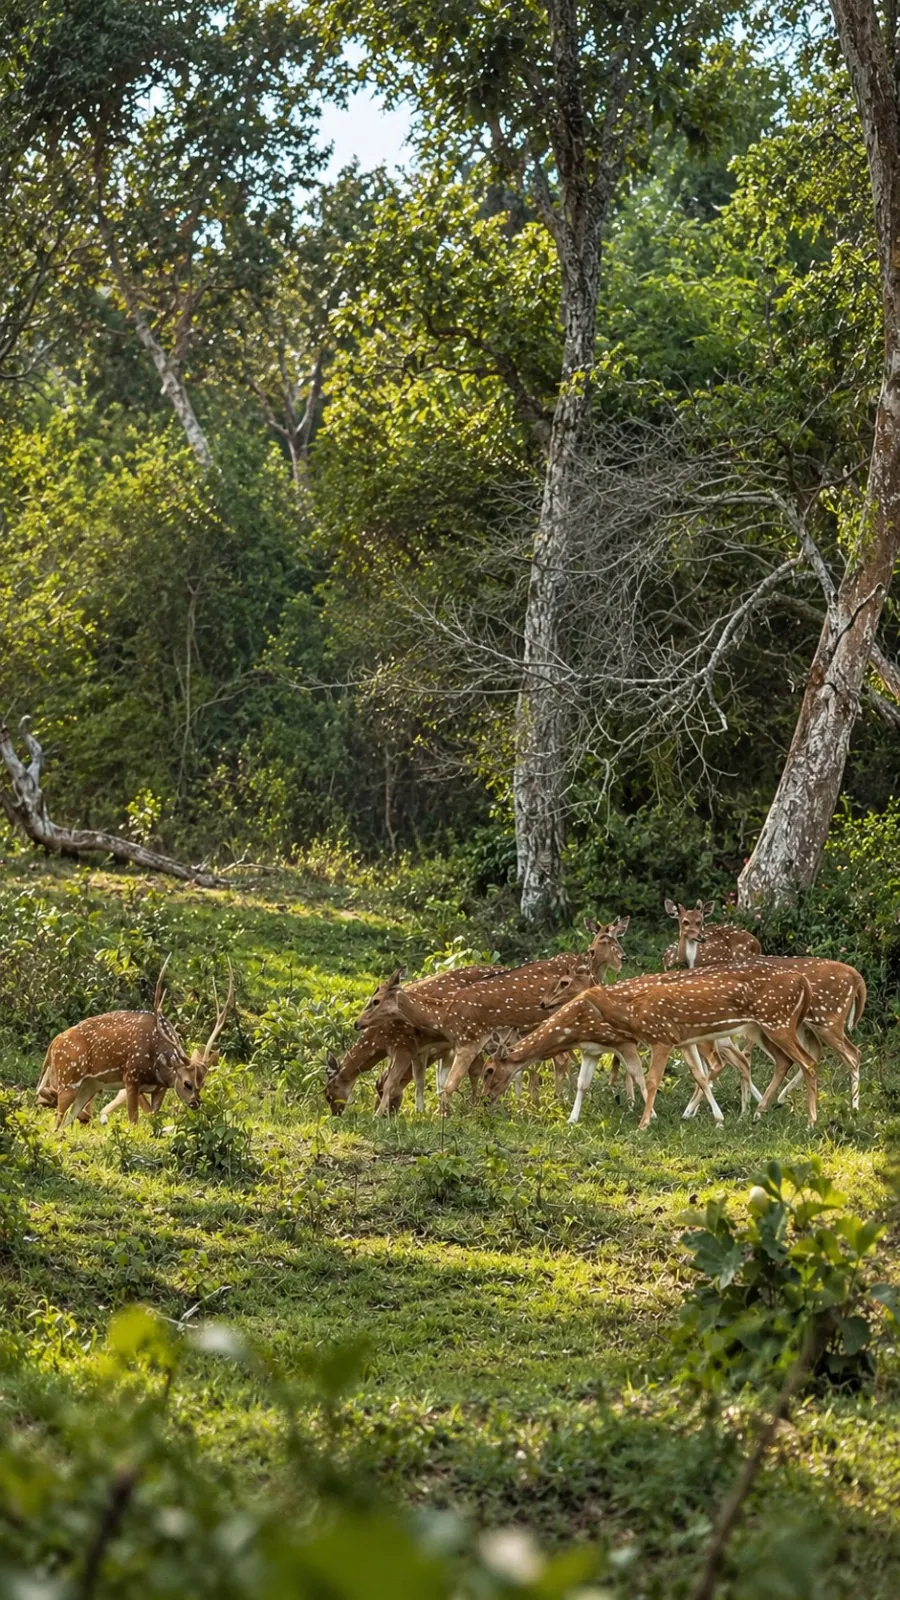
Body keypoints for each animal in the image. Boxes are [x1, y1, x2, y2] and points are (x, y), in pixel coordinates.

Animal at [36, 961, 232, 1129]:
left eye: (203, 1082)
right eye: (187, 1083)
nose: (195, 1103)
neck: (158, 1066)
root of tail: (53, 1045)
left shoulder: (159, 1088)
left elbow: (153, 1117)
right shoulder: (130, 1078)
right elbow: (133, 1120)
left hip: (89, 1086)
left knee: (66, 1122)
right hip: (68, 1078)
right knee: (57, 1121)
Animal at [358, 919, 630, 1113]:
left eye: (375, 1000)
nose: (357, 1023)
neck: (443, 1016)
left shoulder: (469, 1042)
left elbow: (450, 1084)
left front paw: (447, 1115)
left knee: (564, 1060)